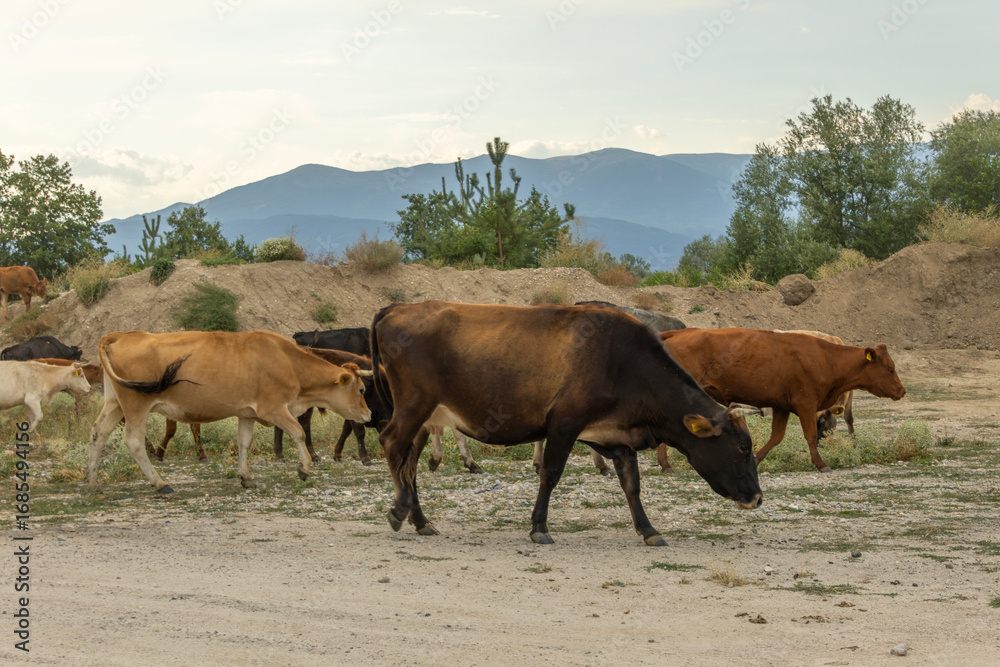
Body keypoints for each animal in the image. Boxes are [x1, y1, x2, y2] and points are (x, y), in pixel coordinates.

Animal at [87, 330, 372, 493]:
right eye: (361, 390)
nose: (368, 415)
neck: (288, 361)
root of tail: (122, 334)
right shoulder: (274, 408)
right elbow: (298, 432)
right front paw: (304, 468)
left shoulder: (246, 413)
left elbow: (244, 443)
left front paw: (246, 476)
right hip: (136, 405)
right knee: (133, 441)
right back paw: (160, 483)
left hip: (114, 402)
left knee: (98, 434)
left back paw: (93, 483)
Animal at [372, 301, 763, 546]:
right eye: (743, 448)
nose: (757, 499)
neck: (624, 362)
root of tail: (399, 307)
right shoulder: (564, 424)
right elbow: (551, 474)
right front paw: (539, 527)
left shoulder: (617, 437)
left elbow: (632, 485)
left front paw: (648, 529)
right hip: (413, 405)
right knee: (392, 444)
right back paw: (399, 510)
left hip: (425, 418)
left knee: (409, 462)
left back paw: (420, 520)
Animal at [657, 328, 906, 472]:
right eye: (890, 368)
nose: (902, 391)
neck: (825, 359)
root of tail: (677, 333)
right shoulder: (806, 404)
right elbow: (810, 434)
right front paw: (821, 464)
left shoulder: (781, 406)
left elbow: (776, 437)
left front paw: (756, 460)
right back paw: (666, 465)